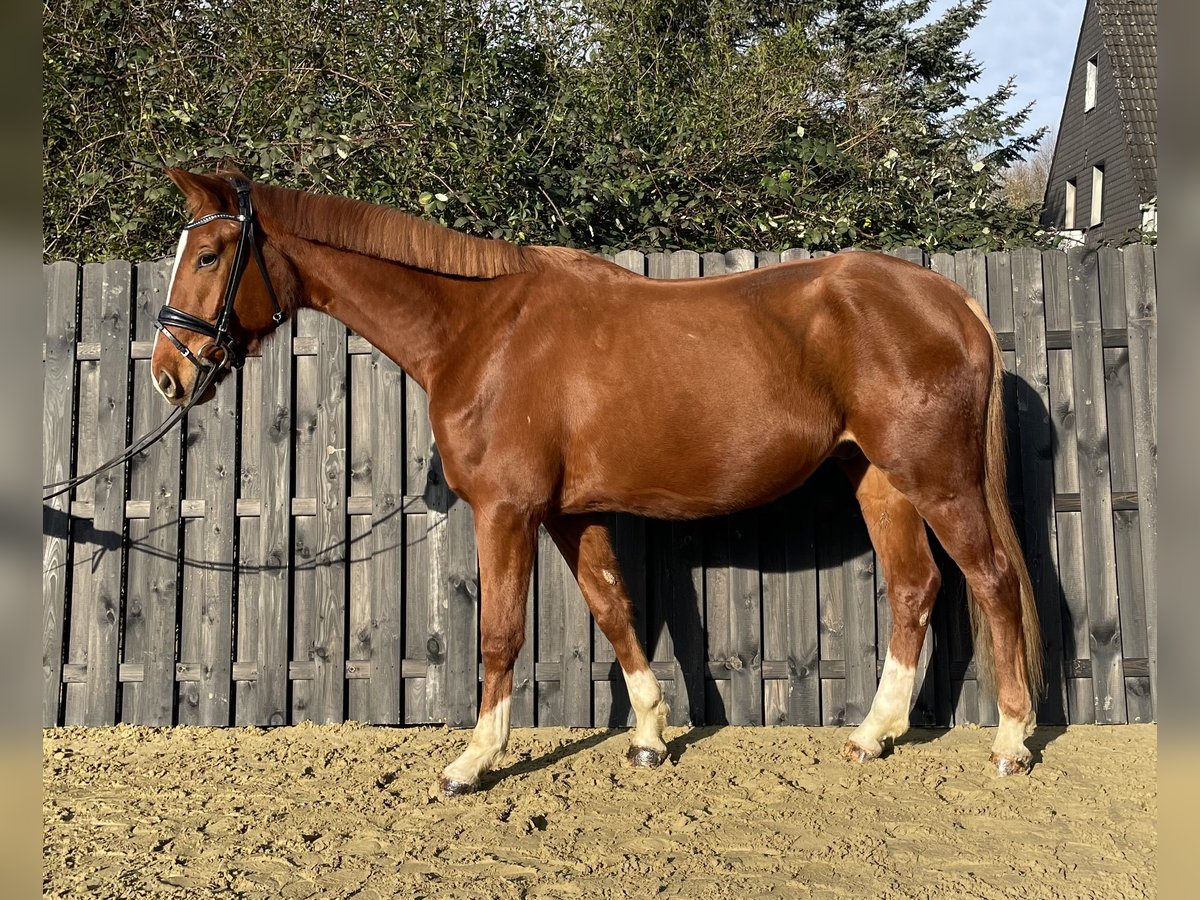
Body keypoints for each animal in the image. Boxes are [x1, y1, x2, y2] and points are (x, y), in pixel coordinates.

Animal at [154, 168, 1041, 796]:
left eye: (208, 256)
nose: (169, 373)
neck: (480, 330)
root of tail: (948, 297)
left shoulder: (506, 512)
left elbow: (502, 634)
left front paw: (473, 761)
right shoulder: (568, 515)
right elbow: (616, 610)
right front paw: (650, 736)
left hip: (940, 480)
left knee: (993, 581)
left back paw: (1009, 742)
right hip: (880, 479)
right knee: (916, 586)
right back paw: (873, 733)